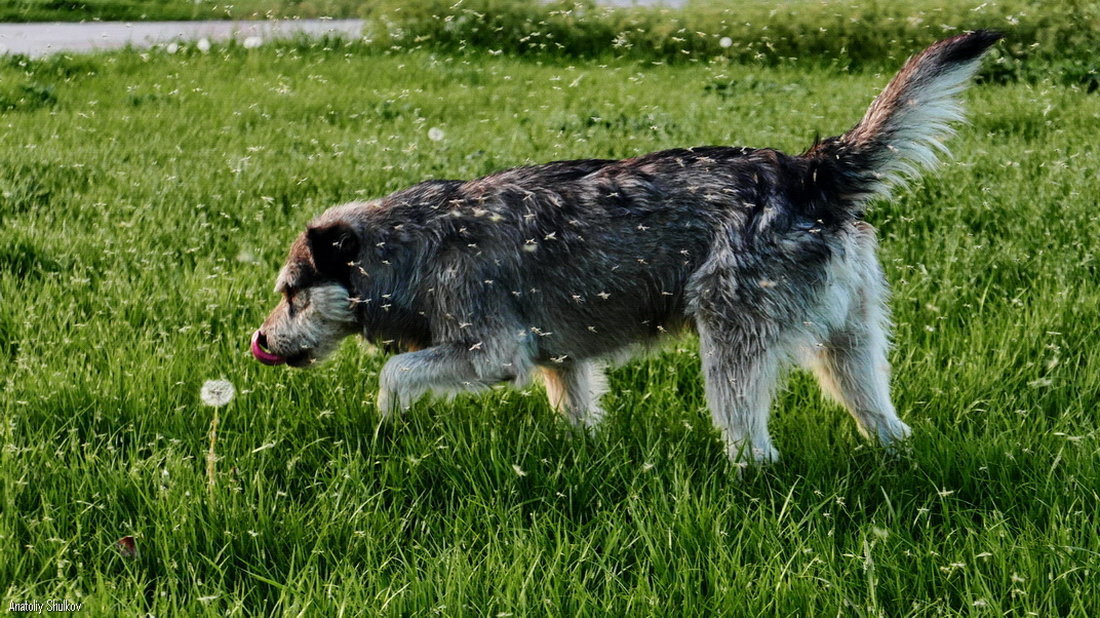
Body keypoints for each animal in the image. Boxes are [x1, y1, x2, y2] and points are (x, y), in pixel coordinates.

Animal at [253, 30, 1003, 461]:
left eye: (291, 296)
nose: (258, 340)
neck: (415, 245)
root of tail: (811, 169)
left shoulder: (492, 352)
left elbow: (394, 375)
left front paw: (389, 427)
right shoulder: (562, 362)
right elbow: (578, 414)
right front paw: (585, 455)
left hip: (730, 350)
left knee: (754, 445)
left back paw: (742, 478)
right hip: (852, 349)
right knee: (884, 419)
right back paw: (895, 458)